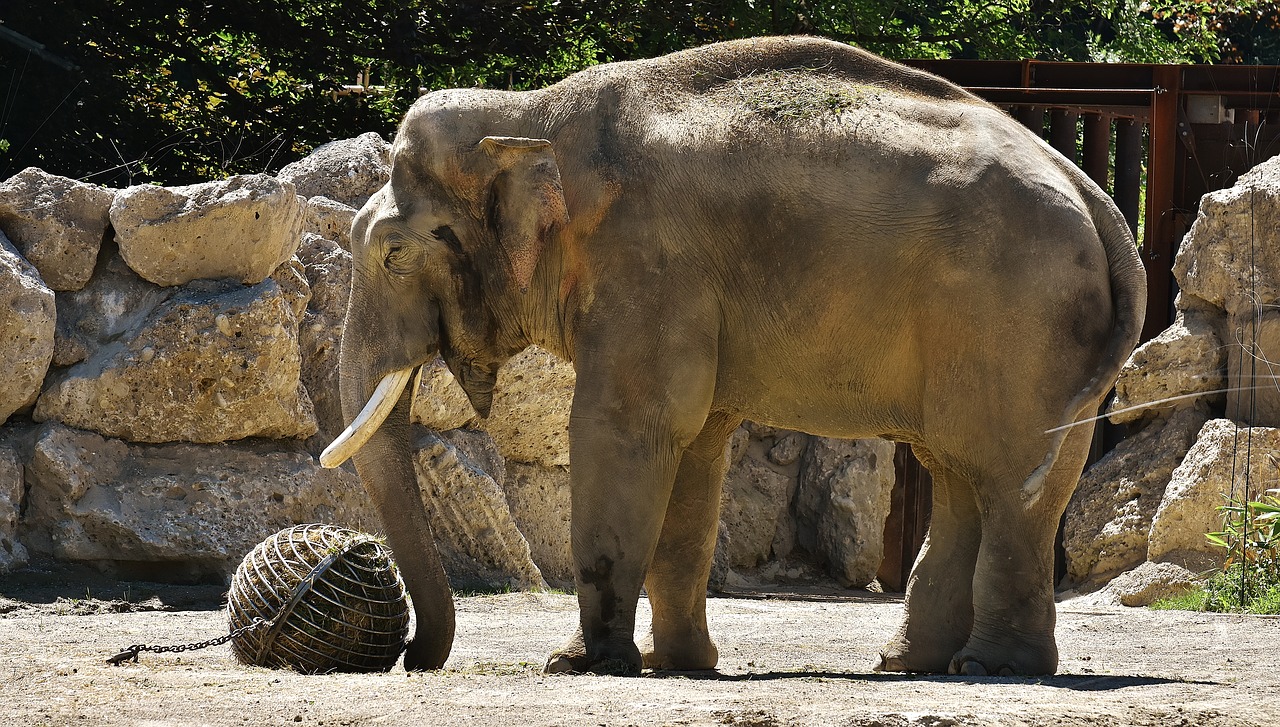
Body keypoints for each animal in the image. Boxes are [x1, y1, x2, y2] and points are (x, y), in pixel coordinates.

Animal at [322, 36, 1152, 680]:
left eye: (394, 255)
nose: (410, 657)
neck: (531, 114)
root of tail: (1097, 199)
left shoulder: (651, 261)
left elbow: (625, 427)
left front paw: (582, 663)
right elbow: (695, 448)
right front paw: (676, 665)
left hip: (1021, 318)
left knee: (1006, 474)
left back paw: (987, 665)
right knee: (968, 472)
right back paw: (914, 663)